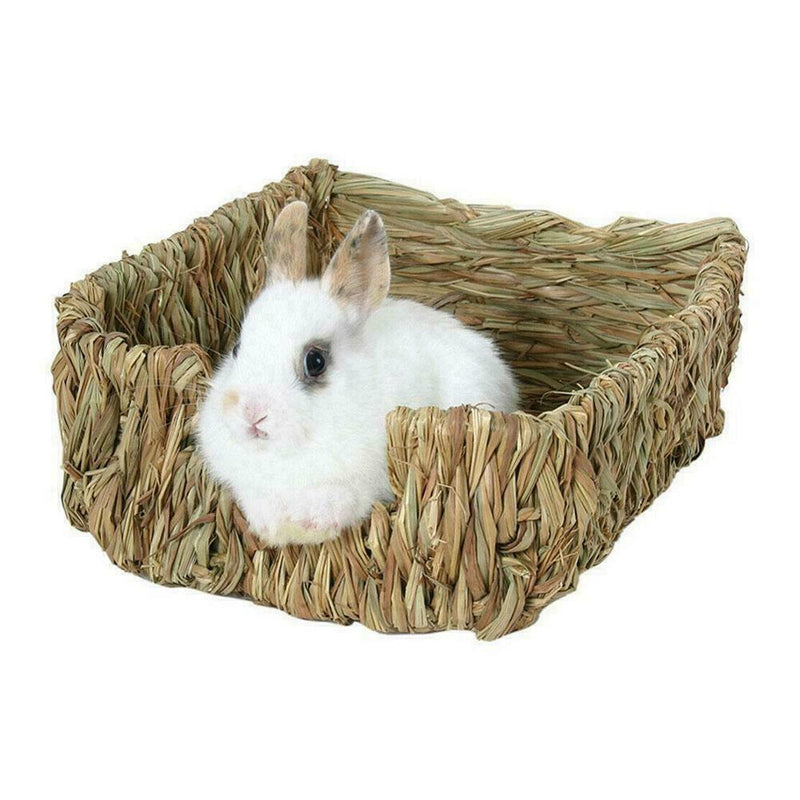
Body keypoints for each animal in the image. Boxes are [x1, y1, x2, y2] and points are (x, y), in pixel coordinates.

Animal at [197, 200, 518, 547]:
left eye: (315, 361)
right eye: (237, 348)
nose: (252, 413)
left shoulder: (364, 482)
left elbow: (345, 500)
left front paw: (311, 527)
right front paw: (274, 529)